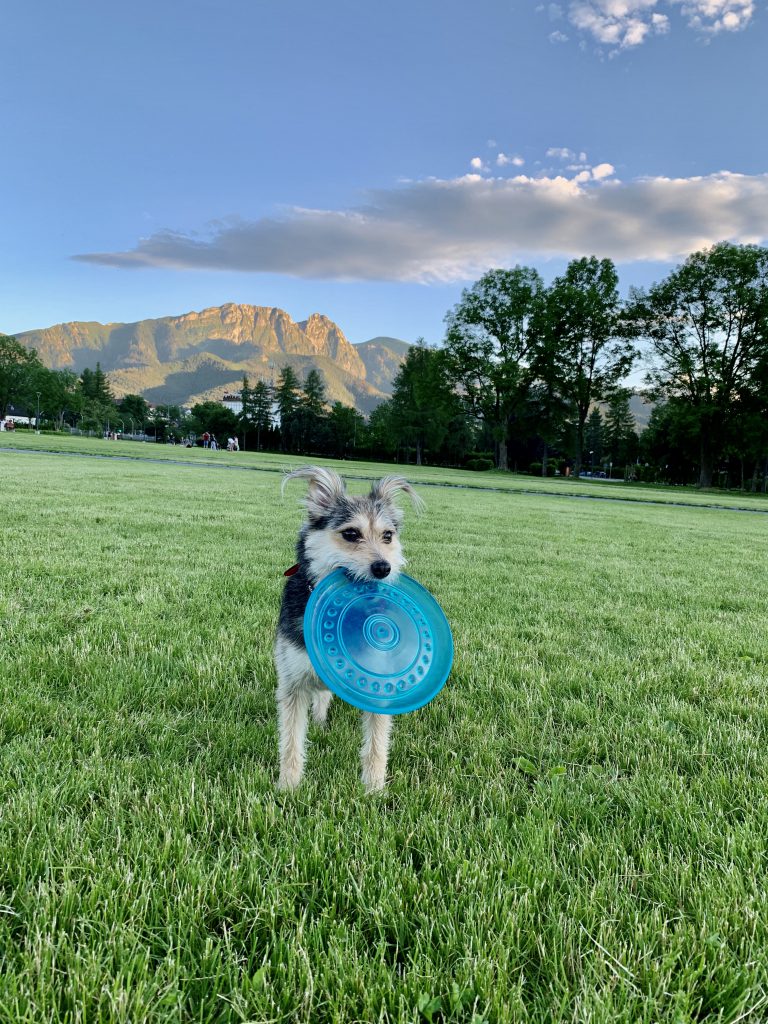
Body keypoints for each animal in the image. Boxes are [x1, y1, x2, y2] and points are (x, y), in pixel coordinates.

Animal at [274, 468, 423, 794]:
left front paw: (374, 789)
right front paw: (288, 787)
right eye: (351, 534)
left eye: (388, 536)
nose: (383, 568)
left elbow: (377, 743)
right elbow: (291, 741)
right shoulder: (293, 681)